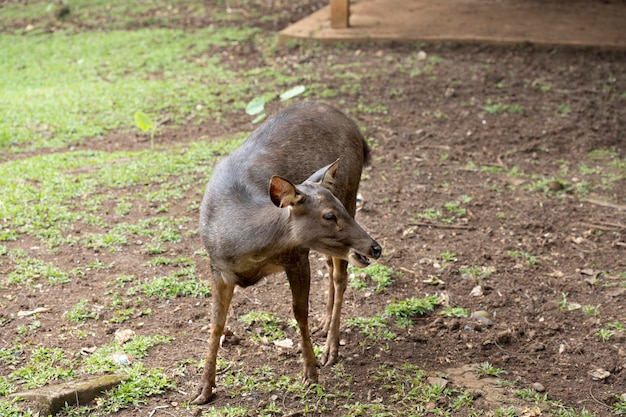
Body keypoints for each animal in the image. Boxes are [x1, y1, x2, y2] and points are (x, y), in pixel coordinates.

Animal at [190, 101, 380, 404]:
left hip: (352, 190)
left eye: (338, 209)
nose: (375, 247)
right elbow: (215, 324)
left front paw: (311, 373)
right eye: (328, 215)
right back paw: (324, 324)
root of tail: (354, 128)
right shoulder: (217, 268)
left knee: (340, 275)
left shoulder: (297, 256)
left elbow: (299, 313)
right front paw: (203, 389)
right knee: (331, 266)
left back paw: (331, 348)